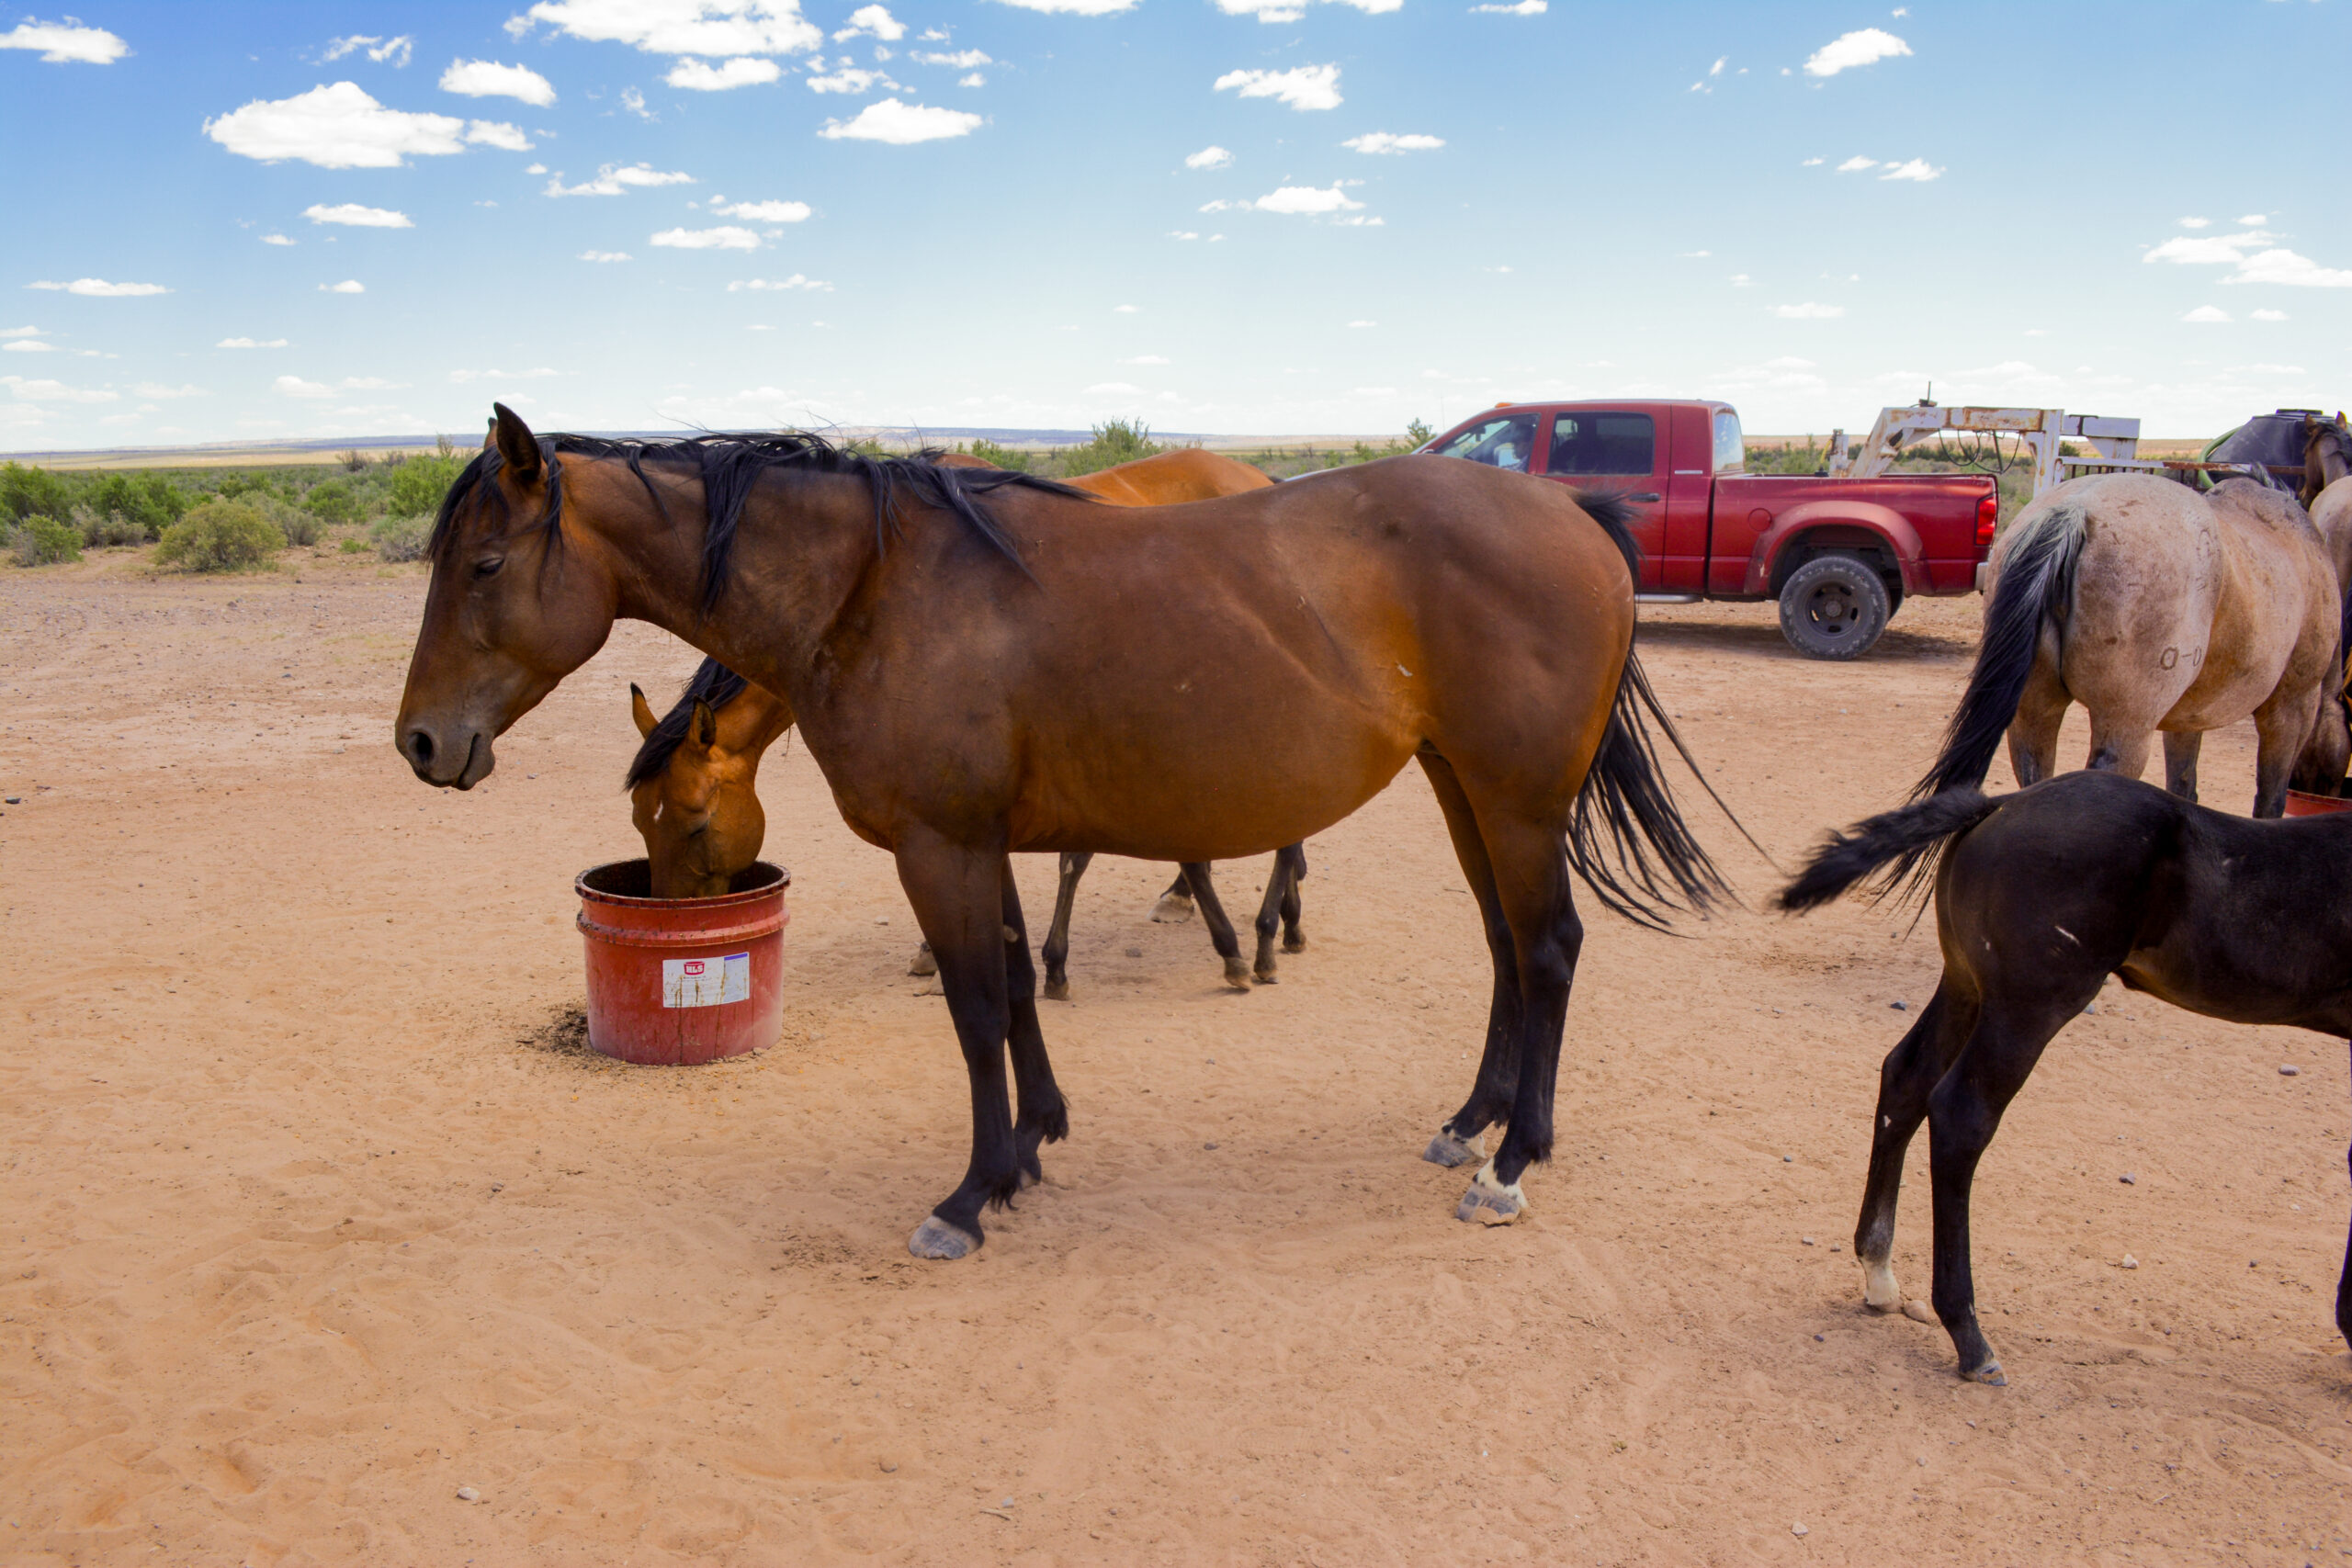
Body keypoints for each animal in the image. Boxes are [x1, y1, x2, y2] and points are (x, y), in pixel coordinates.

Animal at [1778, 768, 2352, 1385]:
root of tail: (2000, 803)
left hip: (1966, 984)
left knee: (1906, 1079)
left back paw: (1879, 1272)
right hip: (2029, 1005)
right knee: (1961, 1117)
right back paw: (1969, 1336)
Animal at [1910, 472, 2347, 824]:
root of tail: (2075, 512)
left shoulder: (2187, 721)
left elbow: (2184, 787)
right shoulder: (2292, 707)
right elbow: (2270, 801)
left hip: (2034, 713)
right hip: (2126, 727)